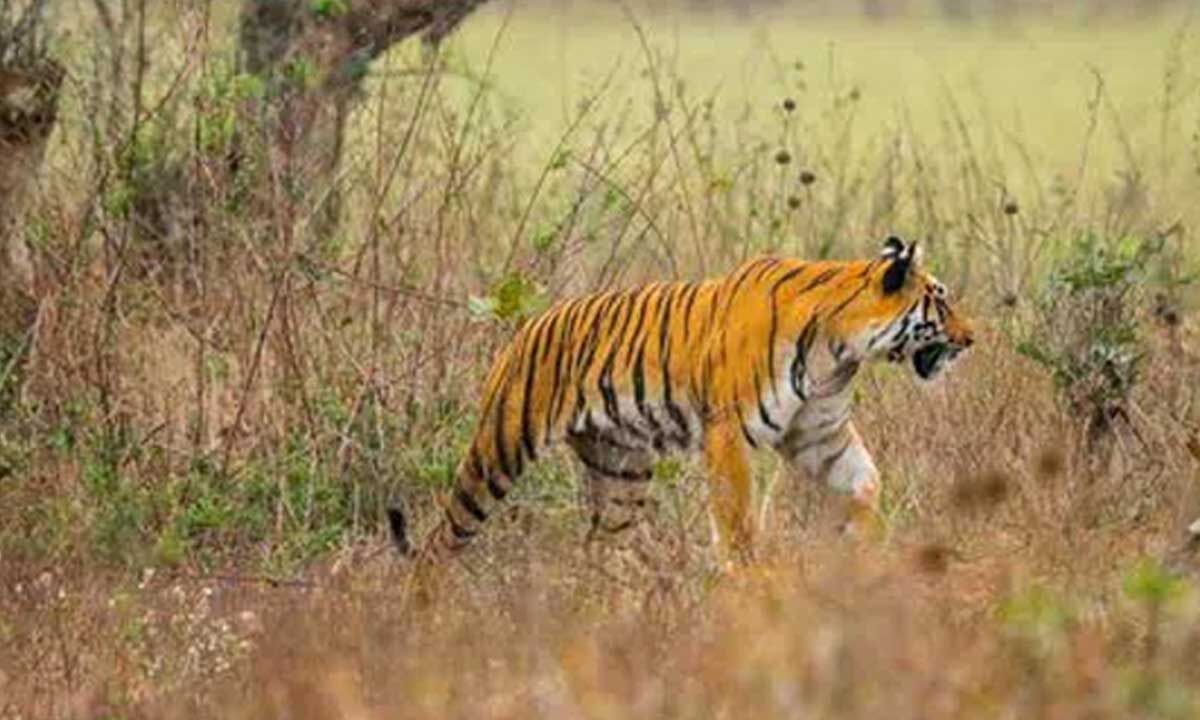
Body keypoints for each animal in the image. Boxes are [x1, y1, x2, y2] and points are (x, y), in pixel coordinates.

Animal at [388, 236, 974, 570]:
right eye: (941, 301)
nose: (973, 338)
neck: (842, 348)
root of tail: (530, 323)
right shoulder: (730, 431)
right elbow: (737, 521)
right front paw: (749, 583)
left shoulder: (819, 434)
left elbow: (864, 482)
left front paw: (869, 544)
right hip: (500, 449)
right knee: (444, 535)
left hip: (621, 471)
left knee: (601, 549)